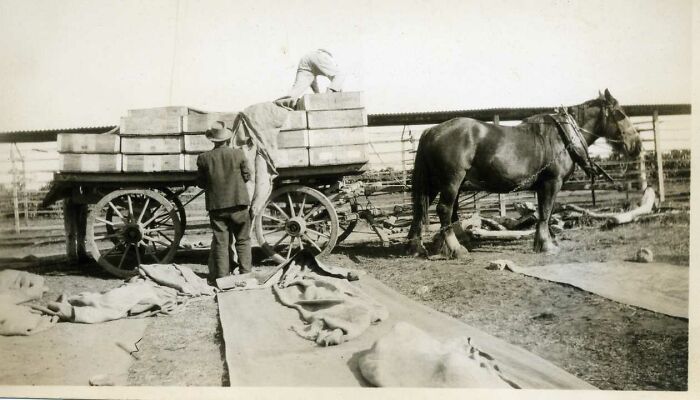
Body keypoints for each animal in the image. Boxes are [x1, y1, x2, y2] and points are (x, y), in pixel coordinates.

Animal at [408, 88, 644, 256]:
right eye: (620, 114)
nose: (637, 145)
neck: (564, 136)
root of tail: (431, 130)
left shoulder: (543, 186)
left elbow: (544, 212)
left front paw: (544, 241)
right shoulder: (552, 182)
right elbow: (546, 212)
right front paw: (547, 245)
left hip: (435, 183)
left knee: (421, 209)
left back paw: (417, 247)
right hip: (451, 181)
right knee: (444, 210)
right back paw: (456, 248)